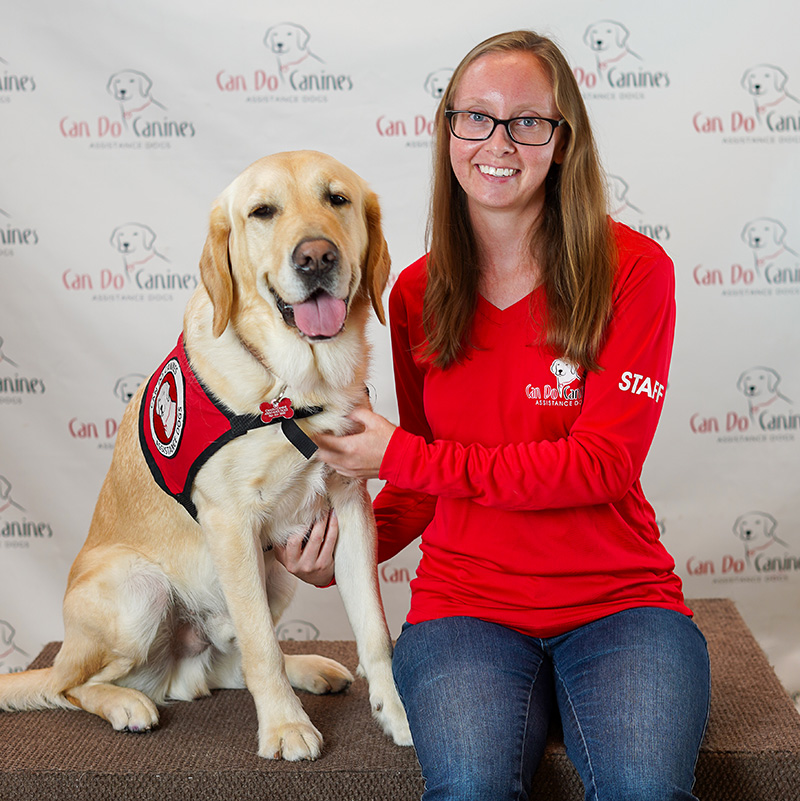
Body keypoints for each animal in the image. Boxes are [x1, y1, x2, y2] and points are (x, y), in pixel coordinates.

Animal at [0, 152, 412, 764]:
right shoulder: (231, 522)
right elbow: (263, 646)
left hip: (275, 572)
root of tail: (178, 672)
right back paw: (127, 704)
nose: (316, 256)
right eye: (262, 212)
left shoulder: (350, 507)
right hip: (137, 589)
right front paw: (285, 728)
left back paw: (307, 668)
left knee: (224, 664)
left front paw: (399, 714)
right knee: (71, 685)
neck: (292, 385)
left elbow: (374, 632)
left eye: (336, 199)